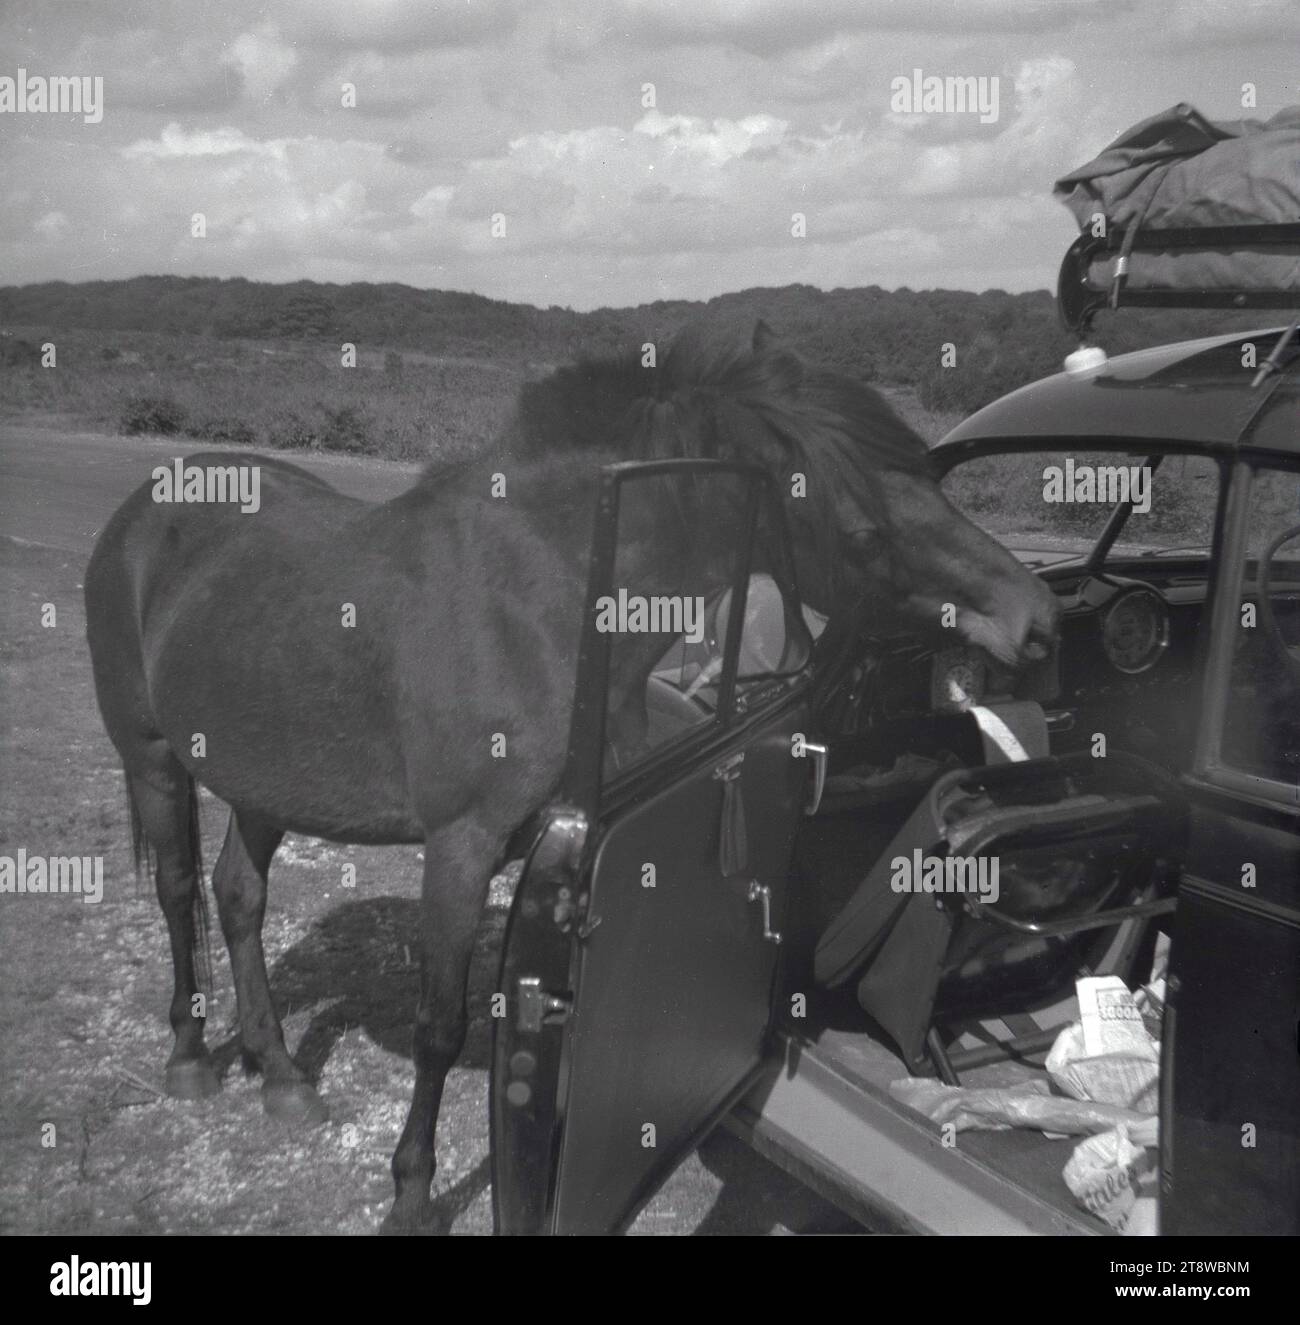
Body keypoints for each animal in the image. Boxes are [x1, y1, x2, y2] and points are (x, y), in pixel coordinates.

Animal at [81, 320, 1060, 1229]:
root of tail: (146, 509)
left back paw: (280, 1070)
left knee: (239, 895)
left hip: (264, 776)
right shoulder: (462, 847)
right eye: (862, 528)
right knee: (179, 890)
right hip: (154, 758)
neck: (544, 601)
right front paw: (412, 1193)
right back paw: (189, 1059)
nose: (1036, 618)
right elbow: (440, 1027)